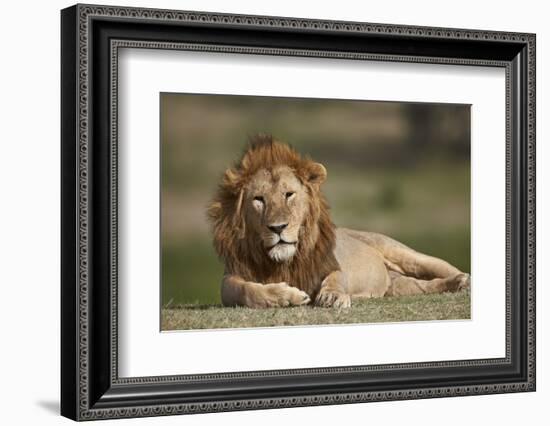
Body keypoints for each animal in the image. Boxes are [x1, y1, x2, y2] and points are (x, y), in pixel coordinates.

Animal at [209, 135, 472, 308]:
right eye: (259, 200)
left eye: (289, 194)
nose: (278, 227)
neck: (284, 262)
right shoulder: (230, 278)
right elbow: (244, 290)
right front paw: (287, 296)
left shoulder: (331, 264)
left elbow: (335, 276)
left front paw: (332, 296)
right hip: (396, 287)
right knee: (421, 286)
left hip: (405, 254)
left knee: (440, 268)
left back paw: (463, 281)